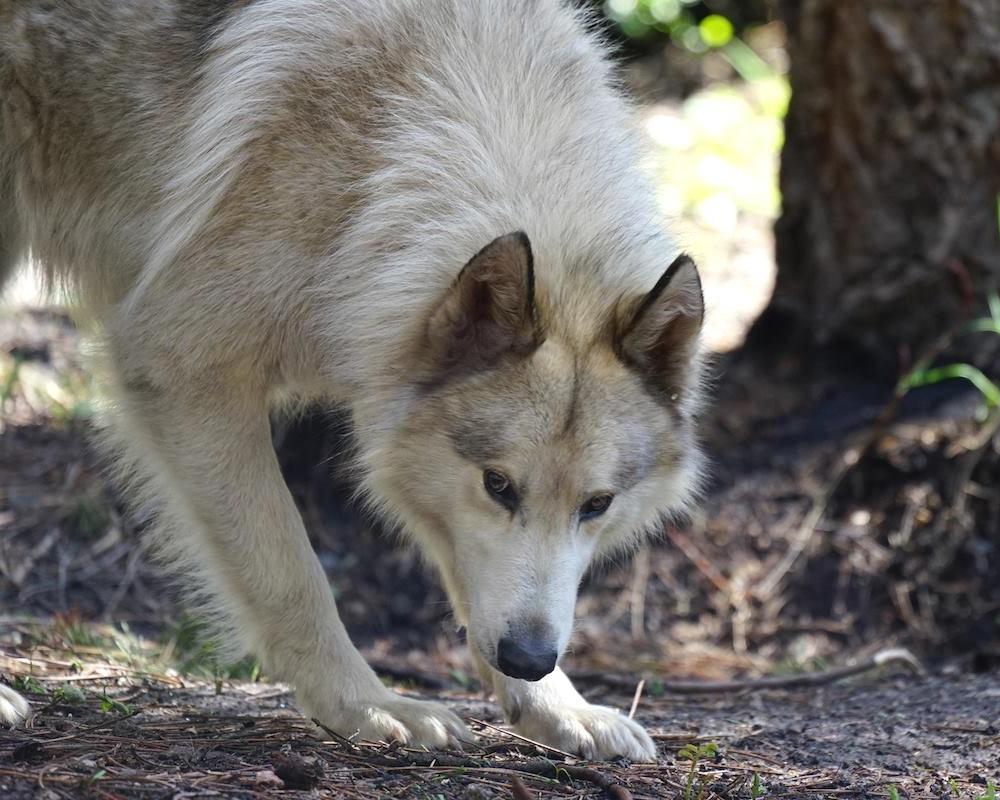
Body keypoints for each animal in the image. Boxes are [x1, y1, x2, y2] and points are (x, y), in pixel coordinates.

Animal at [0, 0, 708, 760]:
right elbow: (292, 573)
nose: (528, 657)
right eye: (498, 486)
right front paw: (365, 705)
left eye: (597, 504)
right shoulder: (181, 367)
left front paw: (559, 708)